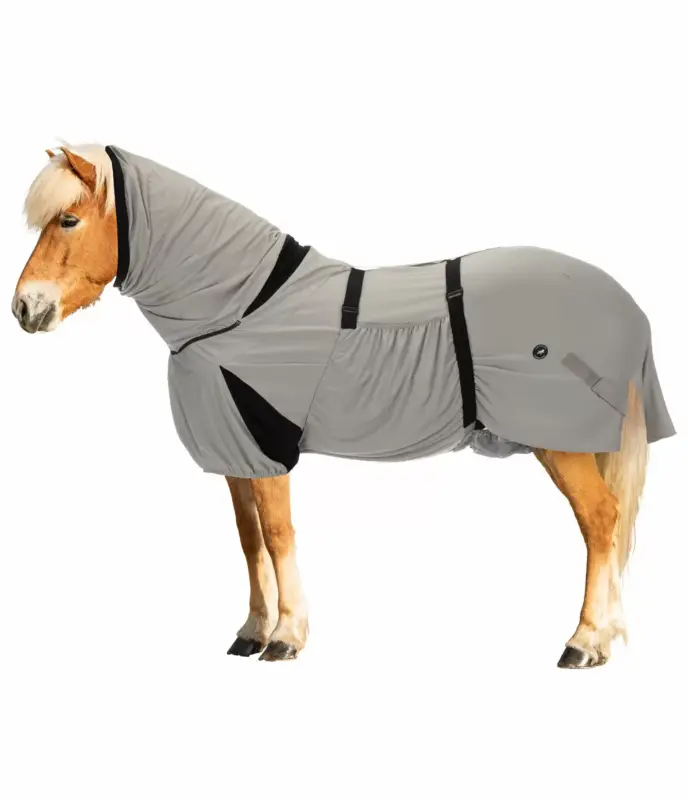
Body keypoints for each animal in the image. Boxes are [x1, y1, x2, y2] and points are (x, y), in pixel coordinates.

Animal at [13, 145, 675, 668]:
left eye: (68, 219)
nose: (24, 307)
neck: (245, 308)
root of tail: (624, 302)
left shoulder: (268, 452)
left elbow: (278, 534)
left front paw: (286, 637)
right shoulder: (235, 455)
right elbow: (248, 539)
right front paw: (252, 631)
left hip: (559, 441)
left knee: (600, 520)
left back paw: (584, 642)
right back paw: (603, 639)